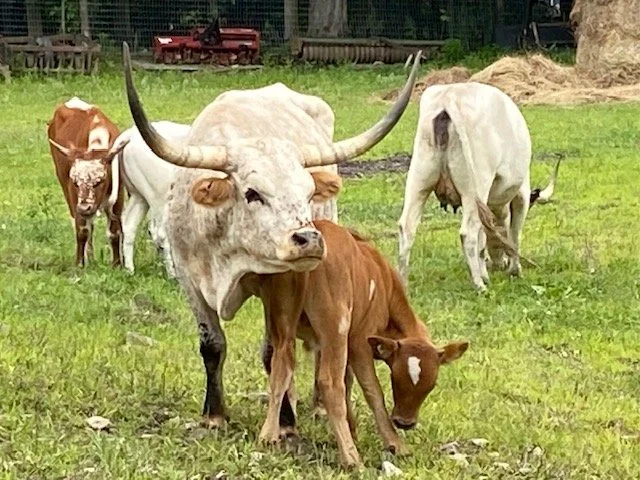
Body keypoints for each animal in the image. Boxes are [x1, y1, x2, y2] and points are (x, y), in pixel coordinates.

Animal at [47, 96, 129, 267]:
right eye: (75, 182)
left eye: (100, 180)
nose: (84, 208)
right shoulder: (73, 194)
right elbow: (82, 230)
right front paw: (80, 264)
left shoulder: (119, 195)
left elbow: (114, 231)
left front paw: (117, 264)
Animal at [121, 43, 422, 442]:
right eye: (253, 193)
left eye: (308, 192)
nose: (309, 239)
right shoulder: (189, 279)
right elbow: (211, 345)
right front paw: (214, 415)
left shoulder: (276, 284)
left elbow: (274, 351)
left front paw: (284, 421)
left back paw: (318, 406)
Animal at [258, 220, 469, 467]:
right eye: (395, 377)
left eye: (432, 384)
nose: (404, 422)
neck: (384, 282)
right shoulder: (358, 341)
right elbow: (372, 391)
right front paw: (393, 442)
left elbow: (346, 381)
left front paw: (352, 428)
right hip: (336, 327)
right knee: (329, 383)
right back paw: (351, 457)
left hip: (283, 323)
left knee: (280, 368)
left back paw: (269, 435)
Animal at [397, 82, 559, 291]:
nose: (500, 263)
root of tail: (449, 96)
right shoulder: (521, 192)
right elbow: (514, 234)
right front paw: (514, 270)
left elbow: (485, 238)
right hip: (474, 188)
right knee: (468, 232)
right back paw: (479, 285)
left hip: (419, 180)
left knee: (407, 227)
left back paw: (401, 281)